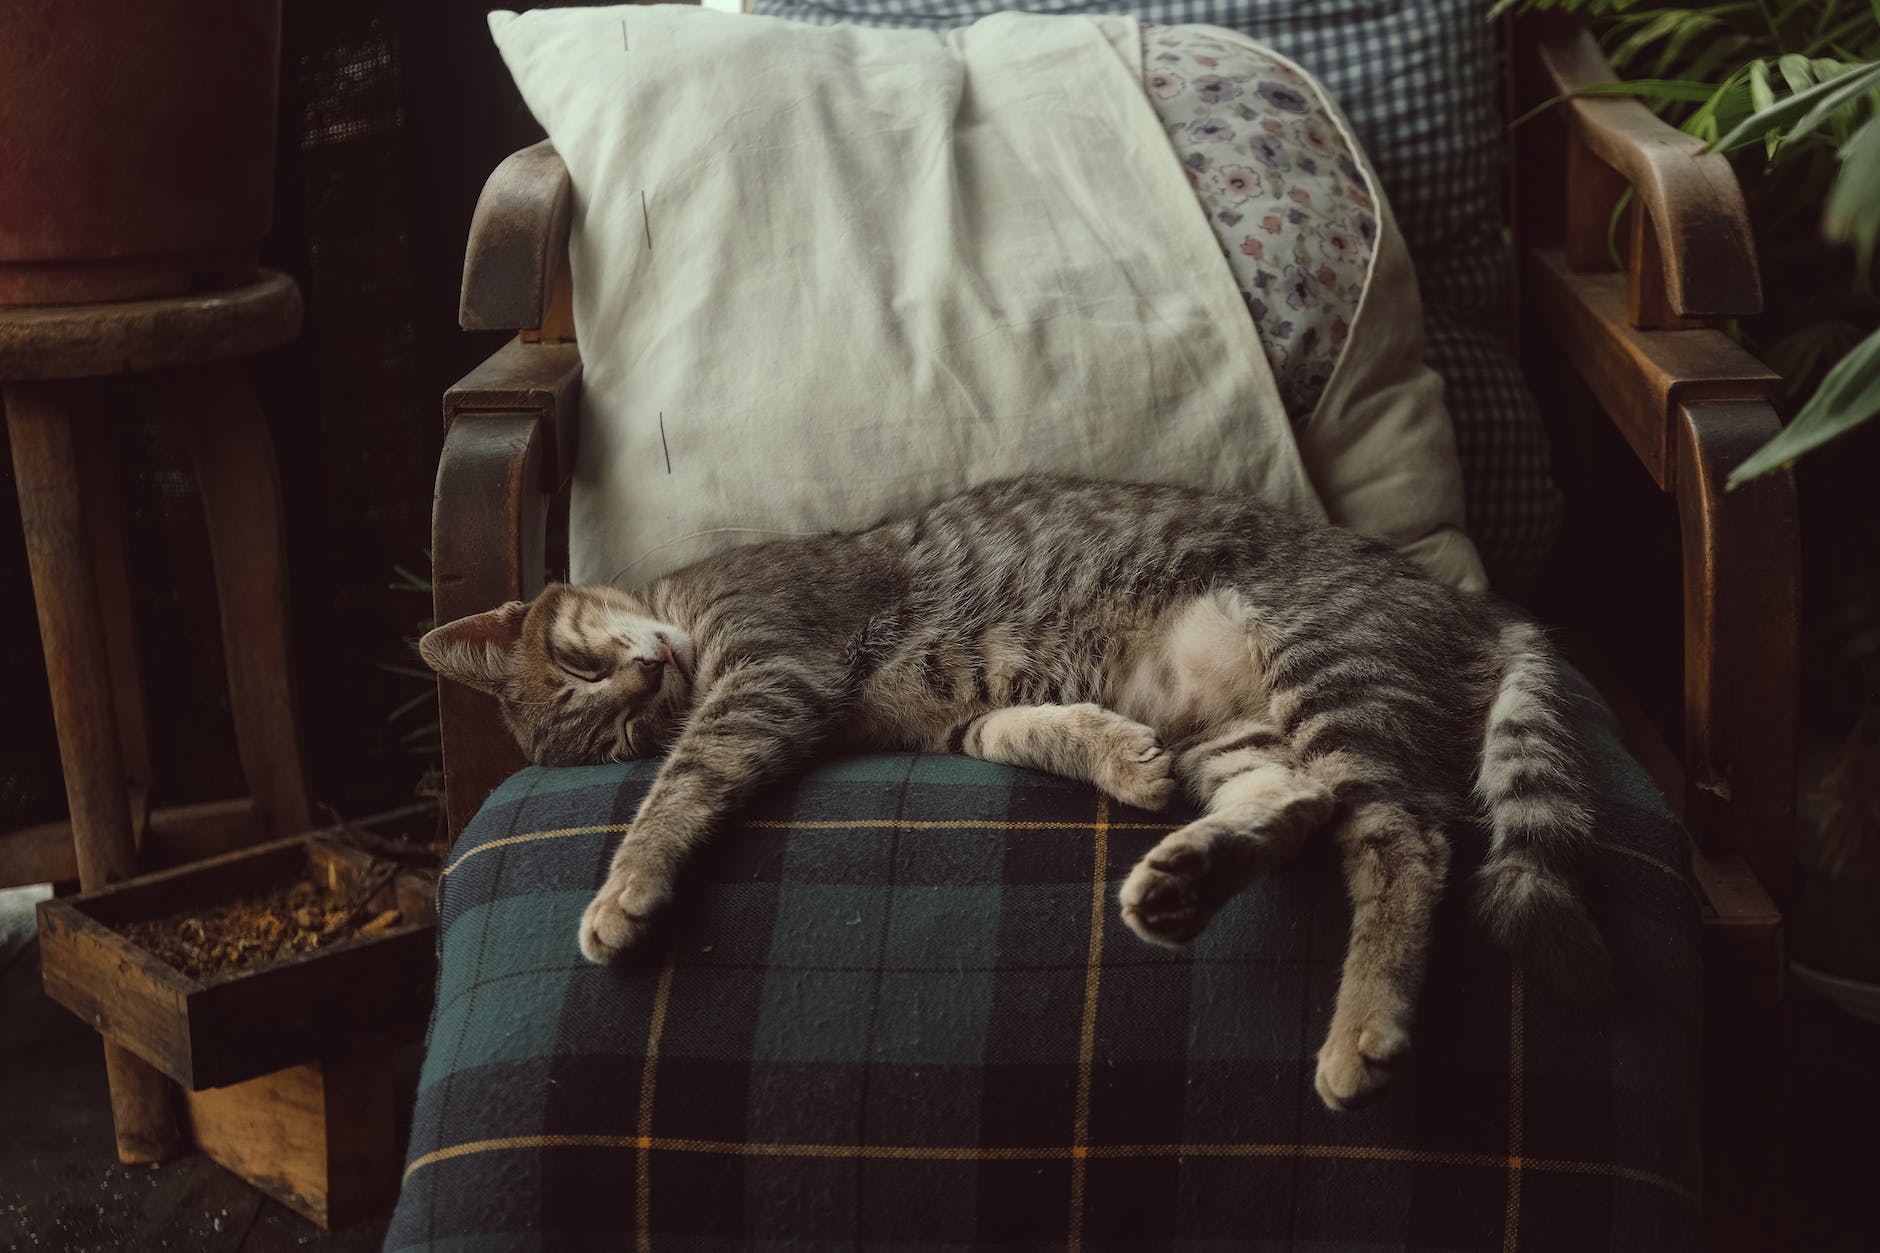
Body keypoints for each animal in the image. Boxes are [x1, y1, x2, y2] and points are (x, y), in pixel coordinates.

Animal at [419, 474, 1609, 1106]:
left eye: (577, 662)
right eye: (613, 721)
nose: (644, 678)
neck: (682, 614)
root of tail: (1480, 608)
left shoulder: (769, 669)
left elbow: (678, 791)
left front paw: (622, 892)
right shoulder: (948, 717)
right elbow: (1031, 728)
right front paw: (1116, 754)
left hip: (1329, 669)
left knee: (1404, 837)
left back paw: (1362, 1027)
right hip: (1240, 727)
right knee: (1301, 802)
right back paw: (1179, 878)